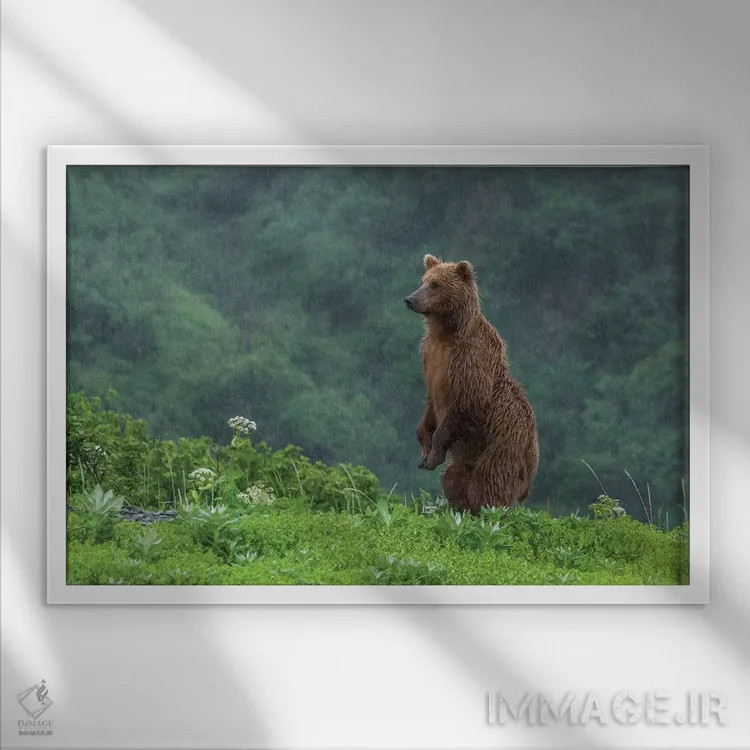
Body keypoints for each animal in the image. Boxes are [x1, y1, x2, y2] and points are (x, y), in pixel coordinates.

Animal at [404, 254, 539, 513]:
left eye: (435, 285)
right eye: (423, 280)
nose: (410, 299)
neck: (446, 332)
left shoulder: (469, 360)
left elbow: (469, 402)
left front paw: (433, 454)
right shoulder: (429, 357)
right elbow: (429, 408)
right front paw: (424, 453)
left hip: (501, 449)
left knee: (489, 484)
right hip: (469, 461)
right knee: (454, 478)